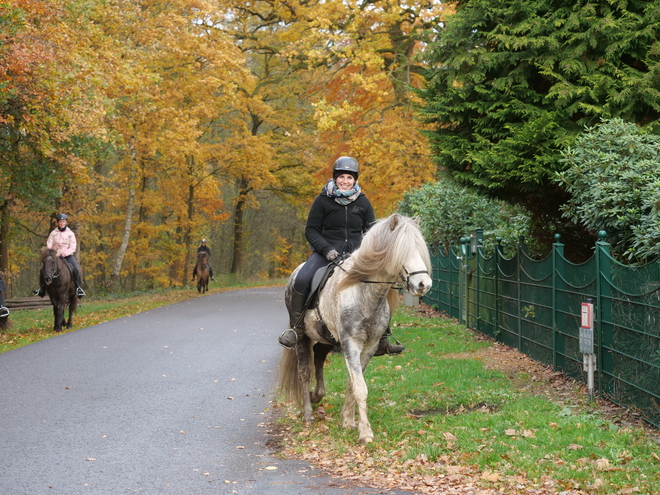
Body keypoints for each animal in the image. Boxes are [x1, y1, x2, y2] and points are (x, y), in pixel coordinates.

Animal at [278, 214, 434, 446]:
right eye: (401, 250)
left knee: (319, 358)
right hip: (302, 337)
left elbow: (353, 384)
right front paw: (365, 432)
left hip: (327, 339)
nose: (424, 284)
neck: (364, 291)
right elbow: (360, 387)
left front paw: (348, 420)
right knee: (304, 371)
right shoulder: (351, 344)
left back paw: (318, 395)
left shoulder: (368, 347)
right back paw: (308, 413)